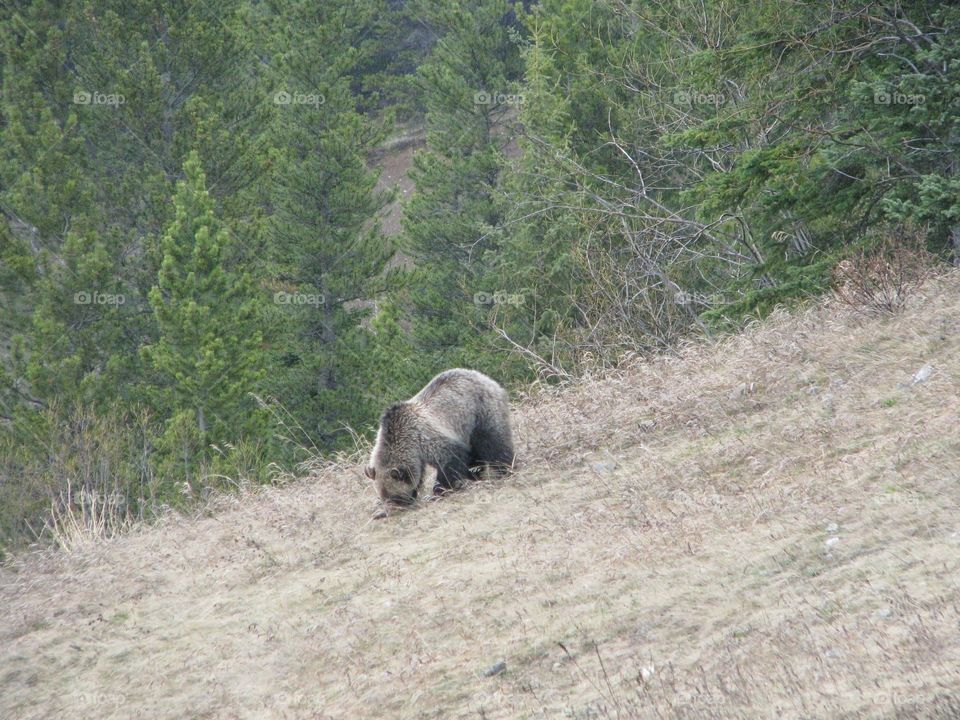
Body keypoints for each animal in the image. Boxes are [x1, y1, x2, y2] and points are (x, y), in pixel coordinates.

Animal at [365, 368, 515, 507]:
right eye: (384, 496)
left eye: (394, 497)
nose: (395, 506)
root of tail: (487, 378)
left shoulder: (426, 438)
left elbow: (450, 461)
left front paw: (439, 490)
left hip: (481, 411)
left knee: (494, 443)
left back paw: (505, 468)